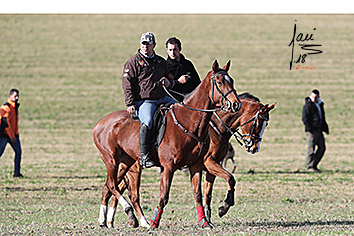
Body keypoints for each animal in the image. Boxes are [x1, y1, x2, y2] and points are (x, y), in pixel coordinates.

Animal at [94, 60, 242, 230]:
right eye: (219, 82)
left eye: (231, 81)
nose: (236, 104)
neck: (189, 122)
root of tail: (100, 124)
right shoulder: (168, 167)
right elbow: (164, 196)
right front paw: (155, 222)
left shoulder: (196, 165)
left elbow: (198, 194)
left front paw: (204, 221)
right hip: (111, 160)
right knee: (113, 186)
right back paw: (131, 214)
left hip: (127, 162)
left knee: (110, 186)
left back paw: (112, 220)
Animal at [103, 92, 276, 229]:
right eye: (258, 122)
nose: (254, 147)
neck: (215, 127)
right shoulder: (209, 163)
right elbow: (230, 178)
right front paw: (224, 207)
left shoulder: (211, 166)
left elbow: (208, 194)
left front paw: (207, 218)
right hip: (132, 167)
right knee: (118, 188)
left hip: (127, 166)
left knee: (111, 187)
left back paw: (109, 221)